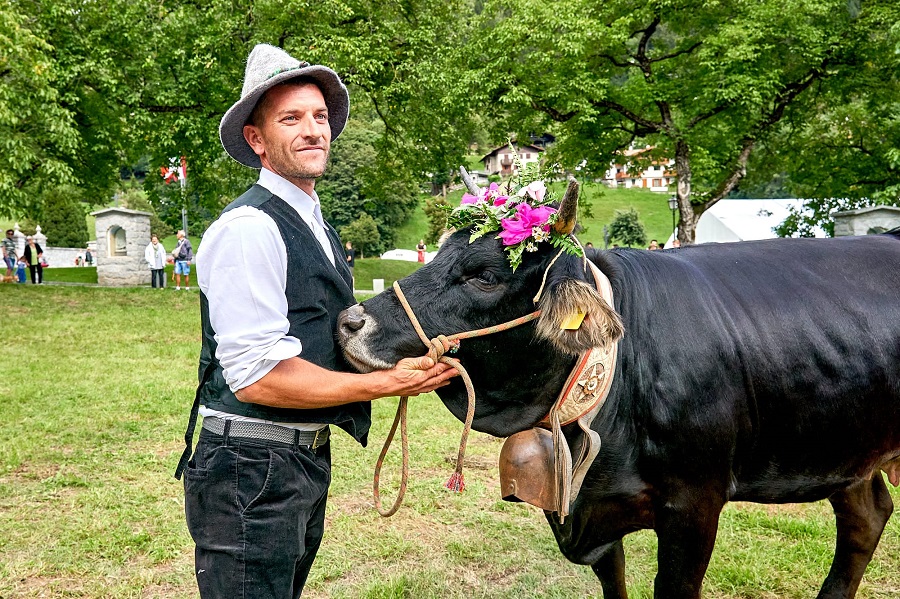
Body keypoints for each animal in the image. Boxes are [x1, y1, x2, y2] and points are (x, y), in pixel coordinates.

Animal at [338, 204, 900, 596]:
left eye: (484, 274)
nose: (350, 322)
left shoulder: (695, 505)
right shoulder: (591, 511)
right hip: (848, 450)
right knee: (867, 517)